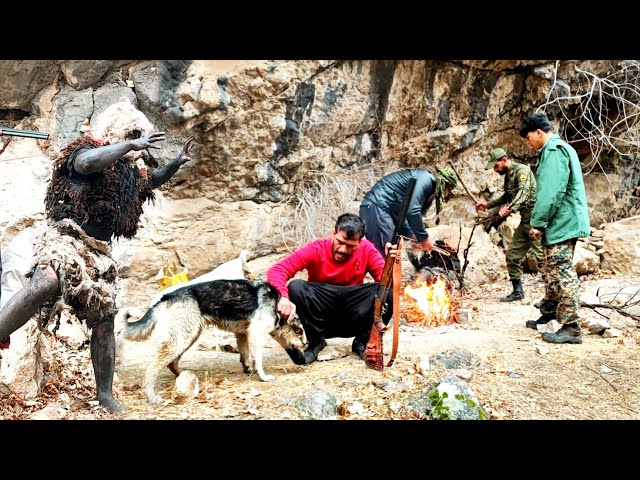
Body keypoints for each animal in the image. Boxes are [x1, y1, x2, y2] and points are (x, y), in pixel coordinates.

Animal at [124, 278, 308, 404]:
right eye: (301, 338)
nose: (306, 360)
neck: (277, 307)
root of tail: (166, 297)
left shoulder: (243, 334)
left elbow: (246, 355)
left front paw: (249, 369)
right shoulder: (256, 334)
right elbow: (258, 359)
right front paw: (262, 376)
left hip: (188, 336)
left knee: (172, 363)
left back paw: (184, 376)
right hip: (182, 338)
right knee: (152, 368)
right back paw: (151, 396)